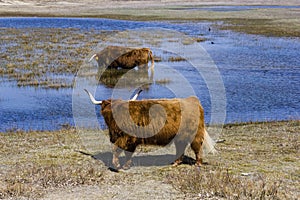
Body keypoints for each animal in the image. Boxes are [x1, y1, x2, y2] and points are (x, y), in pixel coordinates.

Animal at [84, 90, 216, 170]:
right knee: (180, 148)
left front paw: (116, 165)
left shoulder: (125, 138)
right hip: (180, 136)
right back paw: (175, 162)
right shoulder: (130, 140)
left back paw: (198, 164)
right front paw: (126, 165)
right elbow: (127, 153)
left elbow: (116, 149)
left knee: (197, 148)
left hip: (195, 134)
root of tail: (193, 100)